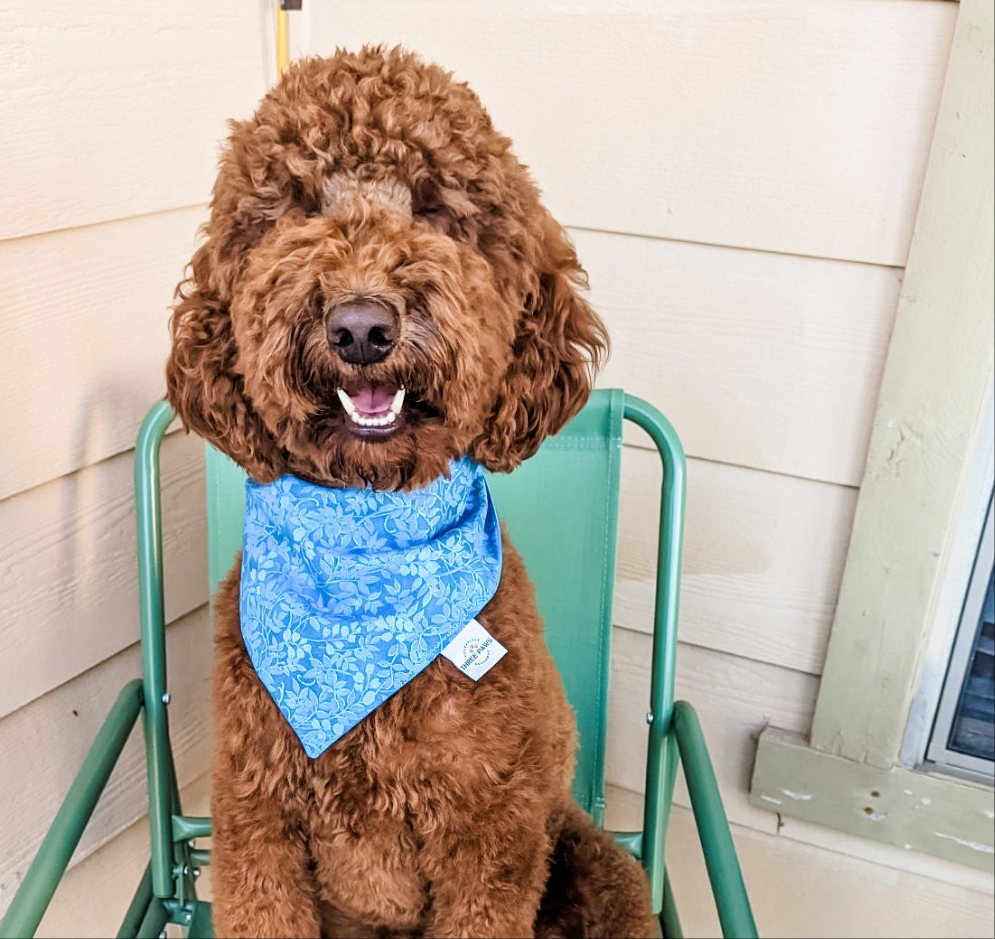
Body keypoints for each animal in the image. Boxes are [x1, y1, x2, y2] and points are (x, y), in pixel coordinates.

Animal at [167, 44, 656, 939]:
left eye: (436, 208)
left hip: (599, 865)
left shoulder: (490, 835)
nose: (361, 327)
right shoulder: (255, 816)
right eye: (291, 208)